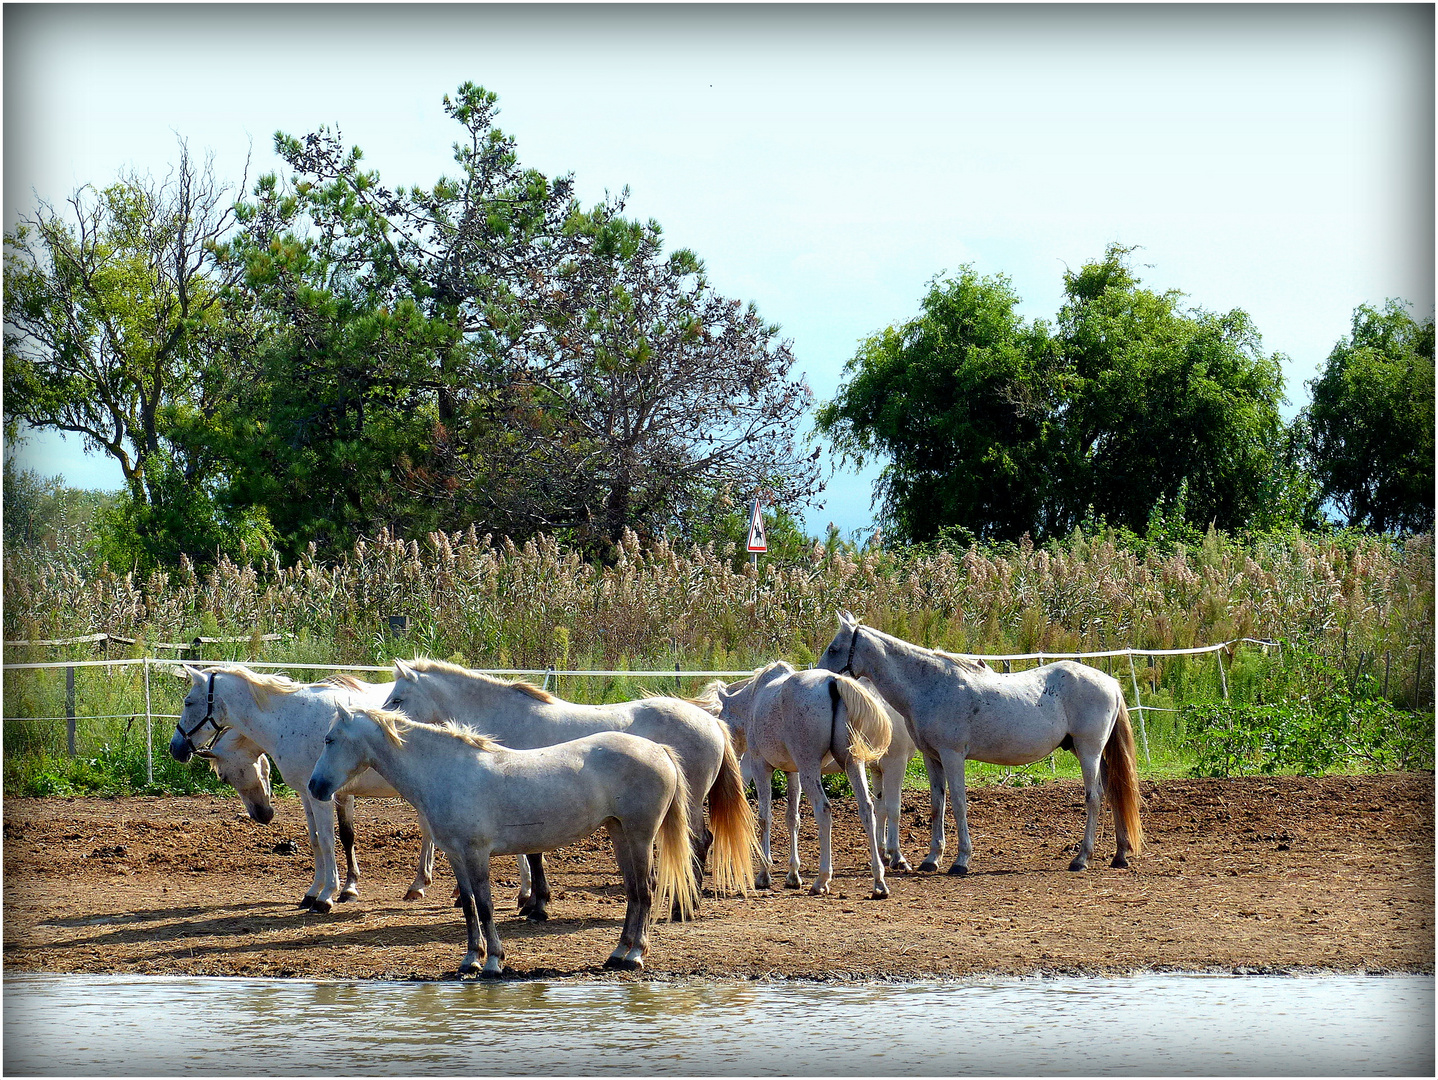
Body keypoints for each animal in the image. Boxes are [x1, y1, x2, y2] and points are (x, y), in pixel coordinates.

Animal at [165, 667, 434, 914]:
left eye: (188, 702)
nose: (176, 749)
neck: (292, 718)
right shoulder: (309, 794)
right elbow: (317, 839)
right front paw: (314, 892)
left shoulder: (324, 797)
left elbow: (328, 840)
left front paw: (327, 896)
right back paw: (420, 884)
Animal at [312, 704, 698, 977]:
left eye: (330, 739)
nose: (316, 786)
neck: (446, 771)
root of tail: (658, 749)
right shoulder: (456, 855)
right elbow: (469, 907)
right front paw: (471, 959)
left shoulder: (476, 854)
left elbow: (485, 906)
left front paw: (493, 962)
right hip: (619, 832)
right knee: (633, 891)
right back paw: (618, 954)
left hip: (639, 834)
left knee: (645, 890)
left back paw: (634, 956)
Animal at [382, 655, 765, 914]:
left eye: (398, 698)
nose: (384, 720)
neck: (508, 718)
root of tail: (710, 721)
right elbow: (532, 853)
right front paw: (533, 902)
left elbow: (534, 855)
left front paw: (537, 906)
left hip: (690, 800)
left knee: (699, 842)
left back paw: (684, 906)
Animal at [698, 664, 891, 897]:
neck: (754, 700)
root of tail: (833, 681)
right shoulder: (793, 773)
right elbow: (792, 818)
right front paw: (793, 875)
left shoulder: (761, 767)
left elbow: (765, 818)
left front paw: (764, 874)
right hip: (852, 763)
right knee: (867, 809)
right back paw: (878, 881)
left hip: (810, 769)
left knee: (823, 810)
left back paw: (821, 879)